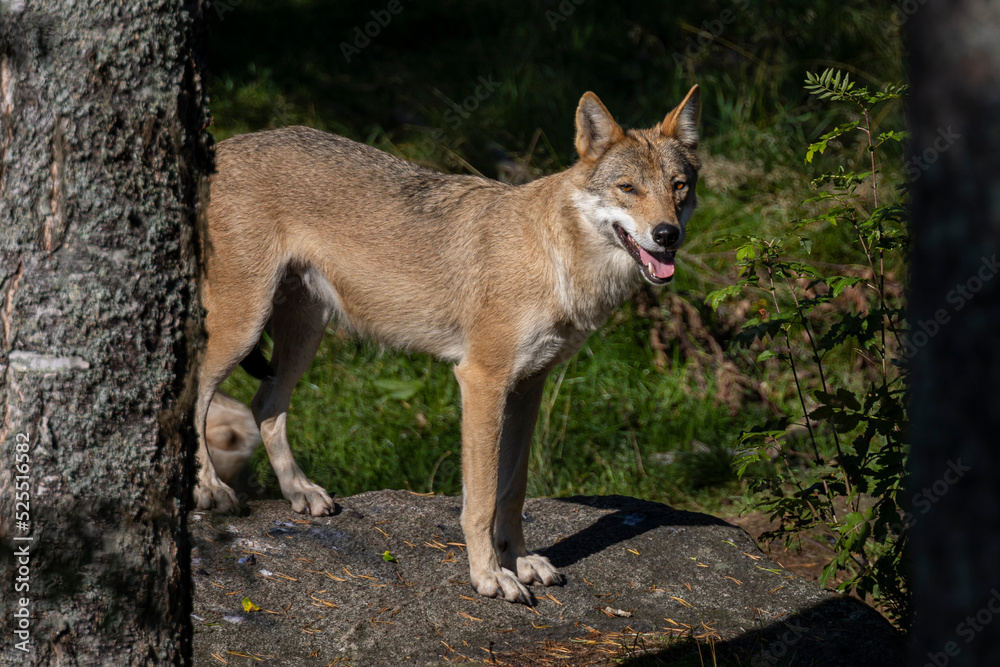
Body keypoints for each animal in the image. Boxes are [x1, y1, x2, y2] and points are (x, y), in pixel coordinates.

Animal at [196, 86, 700, 603]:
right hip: (242, 328)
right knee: (196, 395)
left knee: (265, 405)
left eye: (679, 186)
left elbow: (513, 491)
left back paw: (300, 492)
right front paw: (489, 576)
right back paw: (211, 491)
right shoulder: (481, 381)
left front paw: (520, 561)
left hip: (303, 336)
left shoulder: (528, 387)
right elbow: (481, 500)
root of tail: (222, 148)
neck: (553, 257)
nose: (667, 234)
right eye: (628, 188)